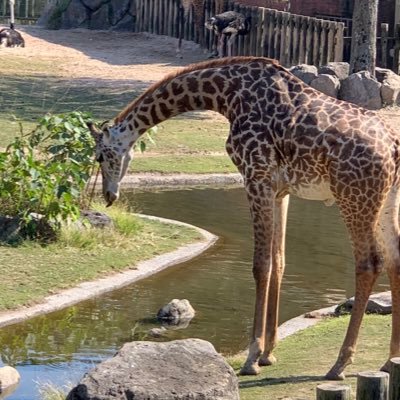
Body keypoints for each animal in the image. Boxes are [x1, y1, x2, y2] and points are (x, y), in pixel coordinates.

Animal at [89, 57, 400, 382]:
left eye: (100, 156)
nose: (108, 195)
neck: (226, 95)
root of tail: (393, 146)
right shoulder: (280, 190)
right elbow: (279, 261)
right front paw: (268, 353)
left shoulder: (255, 177)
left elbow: (260, 266)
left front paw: (252, 357)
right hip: (387, 198)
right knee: (394, 258)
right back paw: (390, 358)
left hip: (354, 197)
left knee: (369, 263)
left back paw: (340, 364)